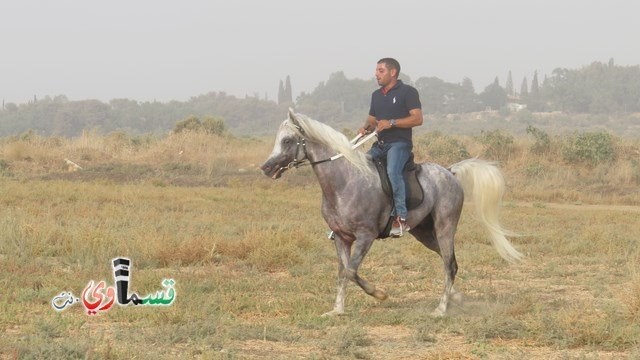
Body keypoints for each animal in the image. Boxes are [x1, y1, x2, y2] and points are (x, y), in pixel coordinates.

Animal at [262, 110, 524, 318]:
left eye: (287, 140)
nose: (266, 167)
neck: (344, 181)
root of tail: (450, 172)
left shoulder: (365, 236)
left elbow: (351, 271)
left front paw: (379, 294)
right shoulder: (341, 238)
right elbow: (342, 273)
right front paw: (337, 310)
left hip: (445, 227)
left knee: (449, 265)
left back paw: (440, 310)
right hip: (424, 233)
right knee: (451, 262)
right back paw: (455, 298)